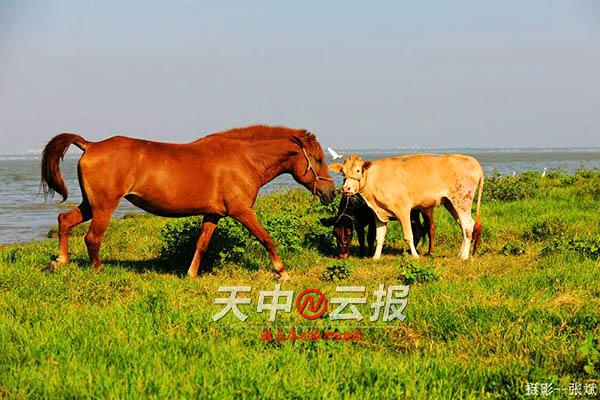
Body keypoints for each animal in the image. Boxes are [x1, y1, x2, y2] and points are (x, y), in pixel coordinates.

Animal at [39, 126, 336, 282]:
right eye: (319, 159)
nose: (331, 192)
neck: (244, 159)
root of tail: (91, 145)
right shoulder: (242, 211)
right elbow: (266, 238)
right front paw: (282, 272)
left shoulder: (213, 215)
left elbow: (201, 246)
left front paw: (191, 275)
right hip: (103, 207)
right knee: (93, 237)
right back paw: (97, 271)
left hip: (90, 205)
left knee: (65, 220)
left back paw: (59, 261)